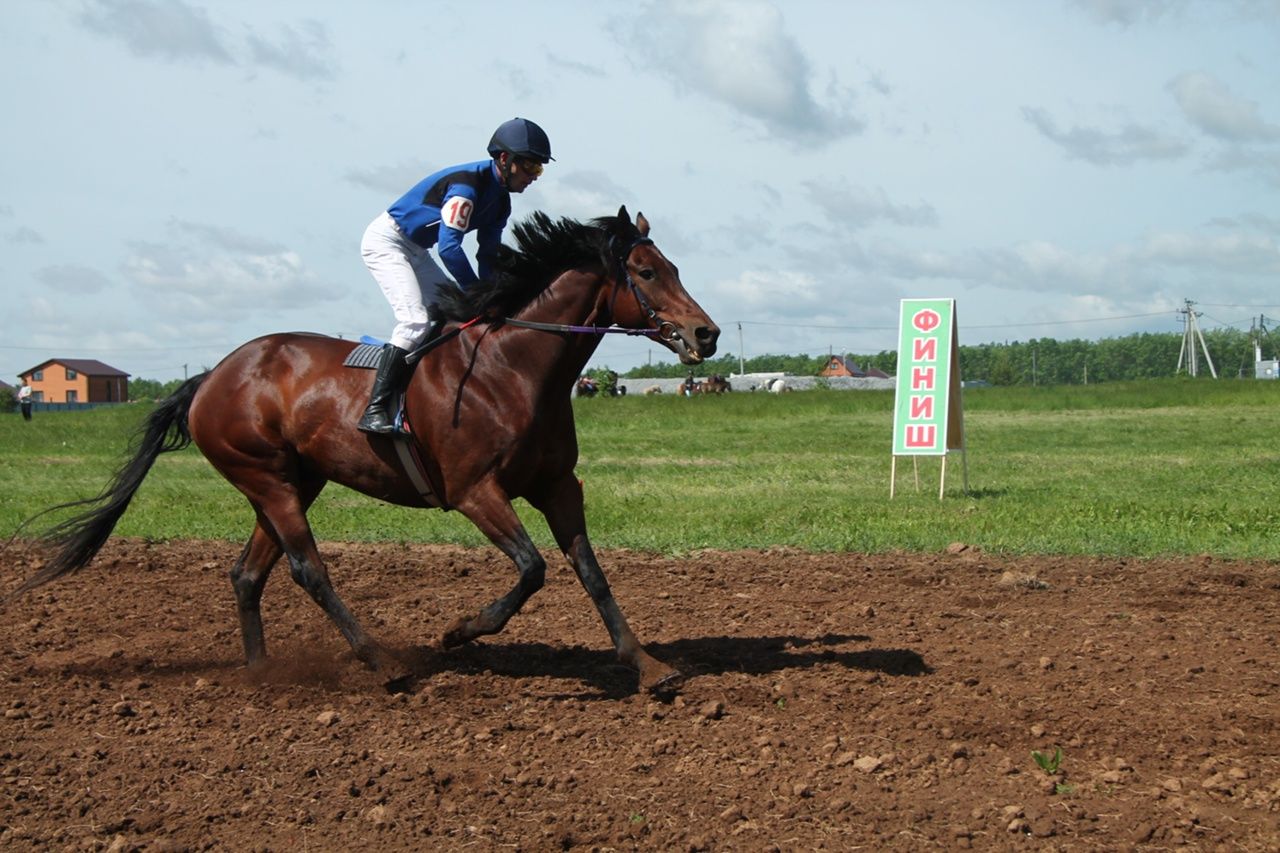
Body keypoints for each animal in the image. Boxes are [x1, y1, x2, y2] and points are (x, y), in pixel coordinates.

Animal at [17, 204, 721, 691]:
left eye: (677, 268)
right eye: (646, 271)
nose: (706, 334)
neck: (514, 367)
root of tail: (210, 378)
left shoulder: (556, 485)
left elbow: (590, 572)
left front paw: (648, 665)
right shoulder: (475, 491)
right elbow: (532, 568)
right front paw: (459, 631)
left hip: (291, 482)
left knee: (248, 573)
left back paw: (262, 674)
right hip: (267, 478)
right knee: (308, 569)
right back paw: (383, 662)